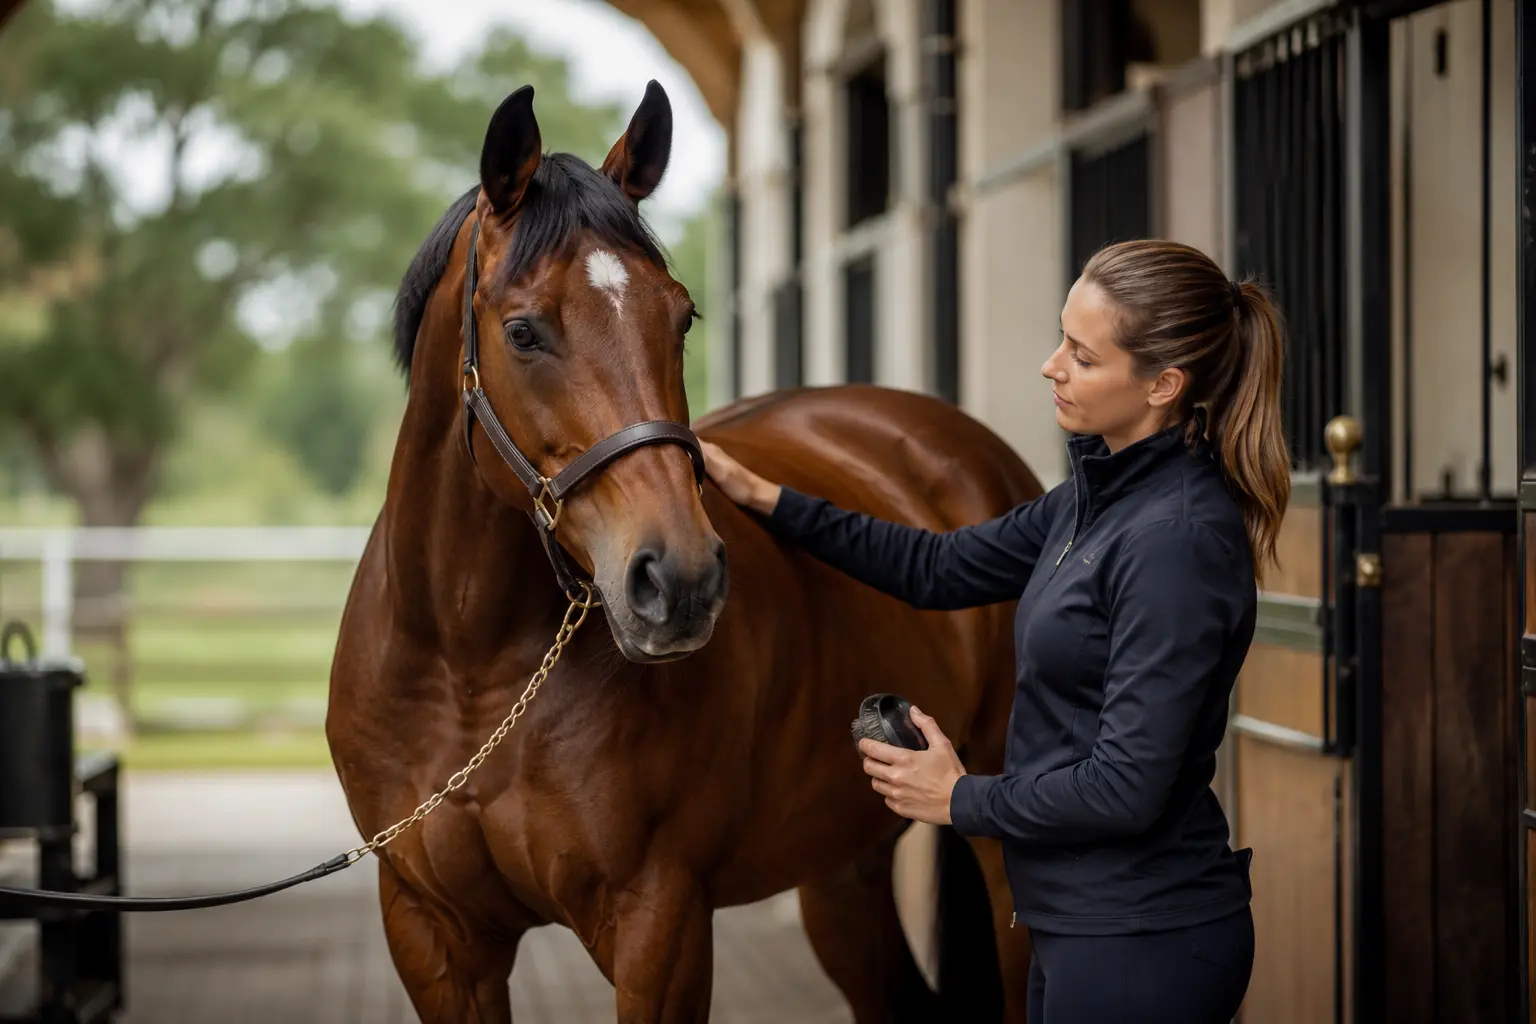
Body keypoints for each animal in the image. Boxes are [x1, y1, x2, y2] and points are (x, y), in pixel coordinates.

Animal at [327, 79, 1044, 1024]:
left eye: (683, 315)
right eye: (522, 332)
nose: (682, 581)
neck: (469, 673)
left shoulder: (659, 920)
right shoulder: (431, 930)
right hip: (843, 867)